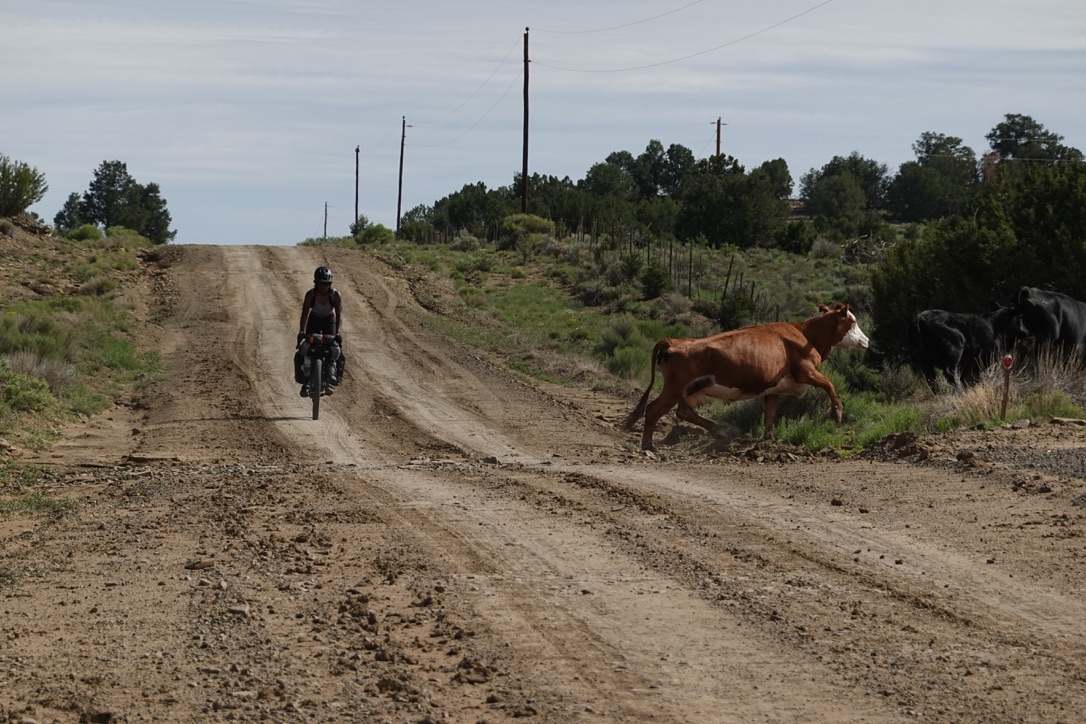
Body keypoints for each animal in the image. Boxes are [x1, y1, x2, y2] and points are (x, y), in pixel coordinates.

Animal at [625, 306, 868, 453]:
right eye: (853, 321)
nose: (866, 340)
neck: (807, 335)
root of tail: (674, 341)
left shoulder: (774, 389)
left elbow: (770, 414)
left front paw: (769, 439)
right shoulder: (806, 372)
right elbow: (830, 384)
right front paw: (837, 413)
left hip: (690, 390)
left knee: (683, 411)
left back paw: (719, 430)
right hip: (675, 388)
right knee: (654, 409)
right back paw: (649, 446)